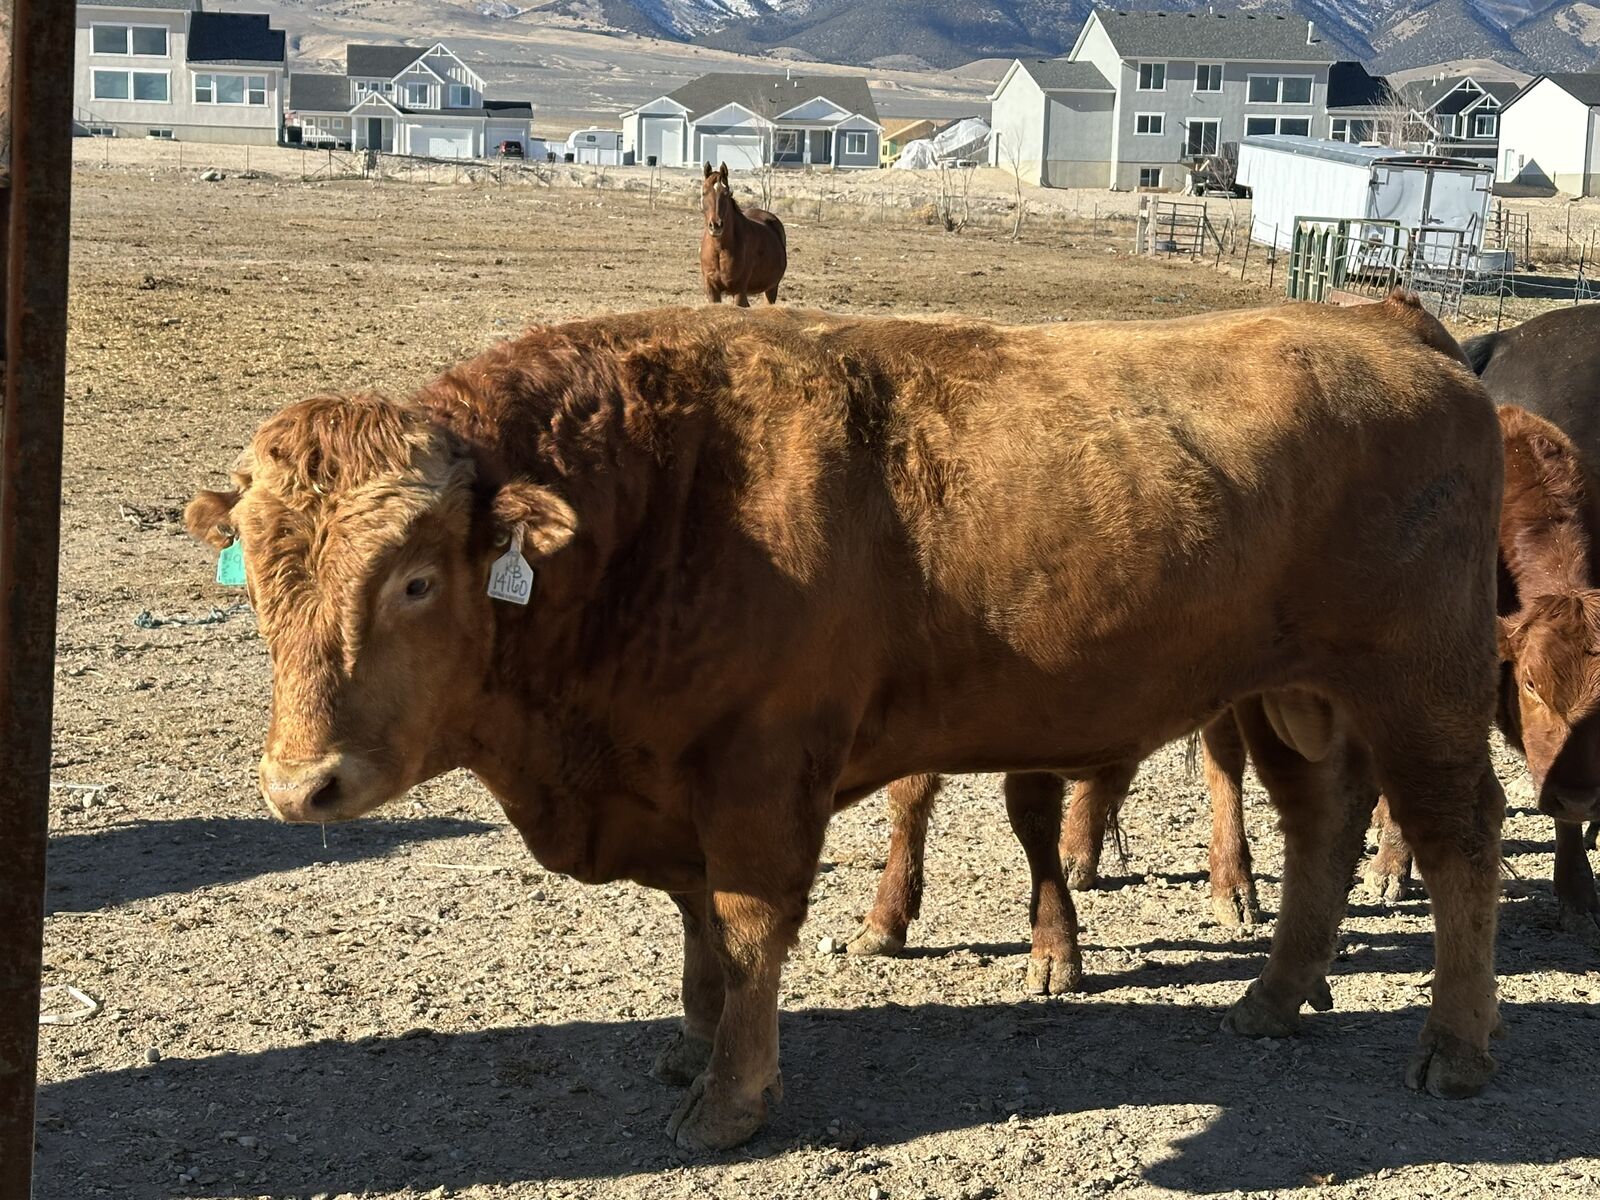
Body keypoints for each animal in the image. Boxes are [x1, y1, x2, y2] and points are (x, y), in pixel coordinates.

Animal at [187, 296, 1506, 1152]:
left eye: (414, 577)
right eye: (253, 570)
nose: (304, 786)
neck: (665, 493)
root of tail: (1402, 341)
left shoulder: (758, 777)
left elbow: (746, 927)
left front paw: (727, 1102)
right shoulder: (674, 778)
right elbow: (697, 930)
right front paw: (690, 1041)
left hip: (1419, 689)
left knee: (1458, 840)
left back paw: (1454, 1047)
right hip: (1286, 695)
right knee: (1319, 821)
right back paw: (1274, 997)